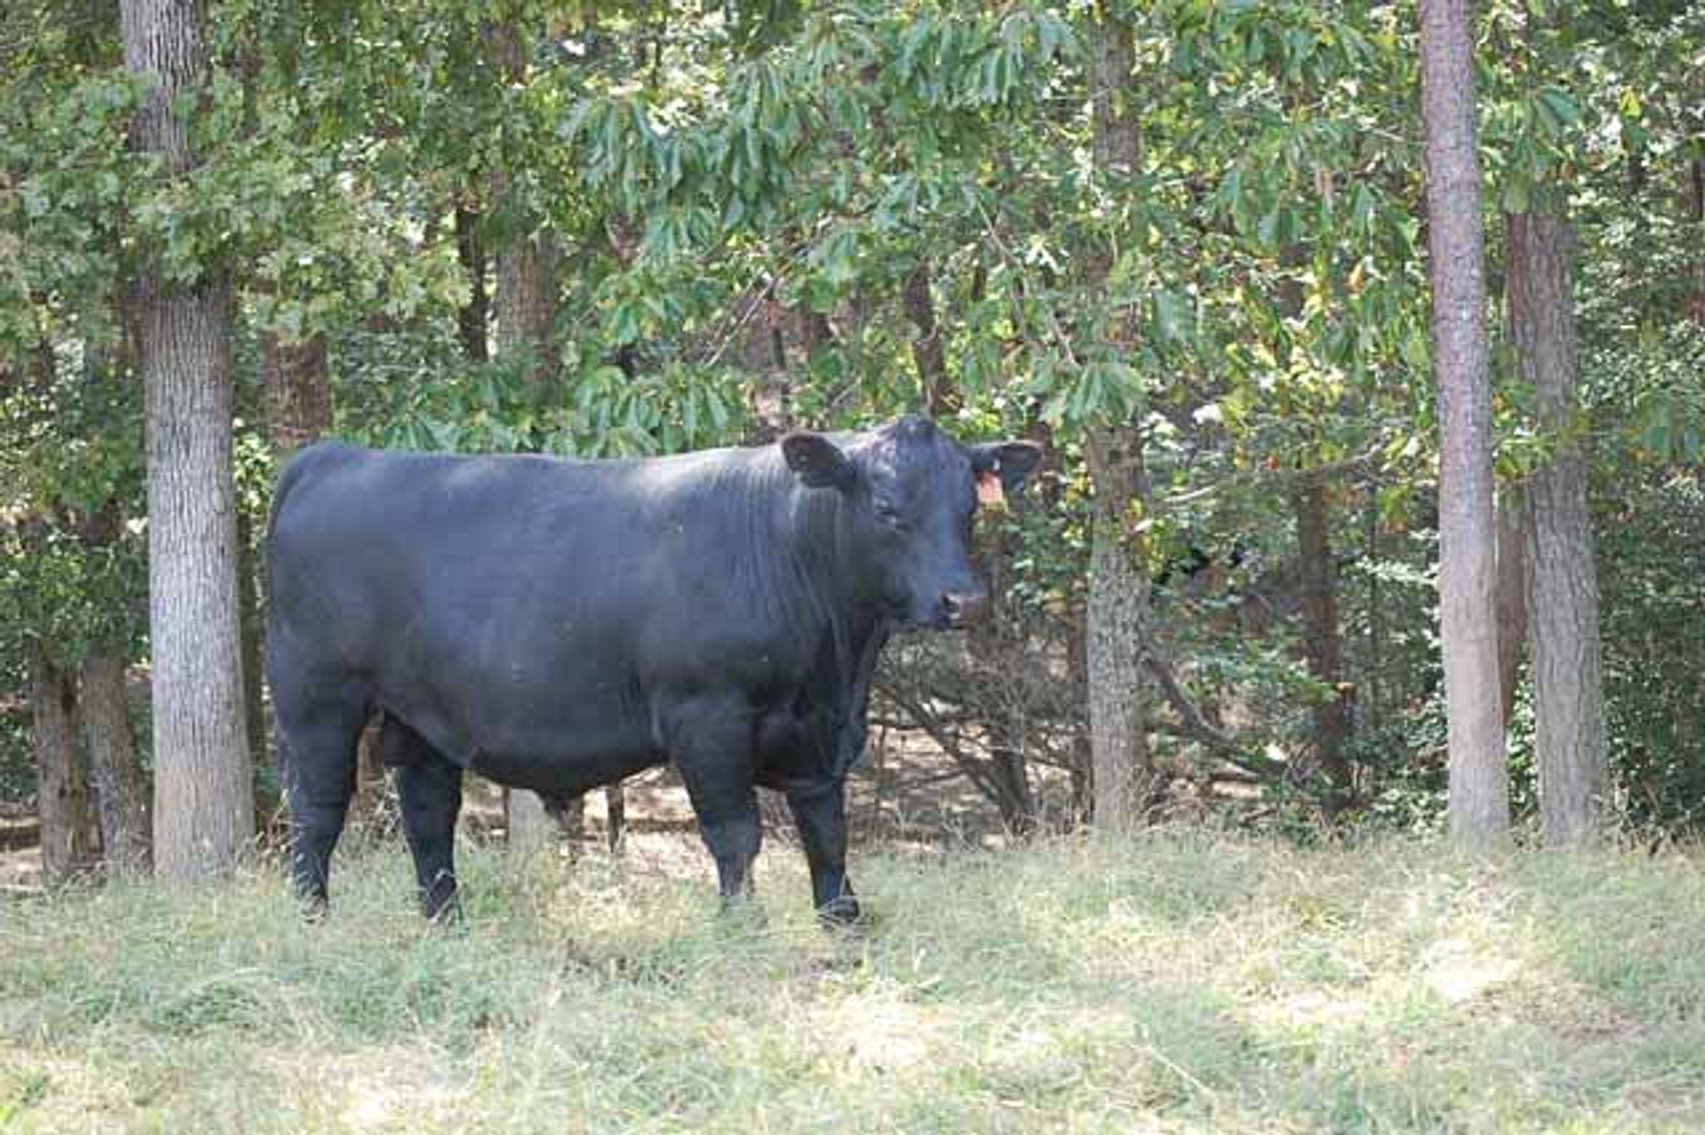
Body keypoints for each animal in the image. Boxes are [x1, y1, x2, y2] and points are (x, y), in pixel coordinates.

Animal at [265, 415, 1041, 924]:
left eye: (969, 507)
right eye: (885, 507)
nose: (964, 599)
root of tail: (330, 458)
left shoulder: (820, 735)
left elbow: (827, 829)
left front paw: (843, 922)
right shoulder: (708, 714)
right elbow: (736, 833)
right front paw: (742, 930)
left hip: (424, 712)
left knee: (428, 814)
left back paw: (445, 923)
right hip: (316, 696)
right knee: (316, 808)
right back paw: (313, 917)